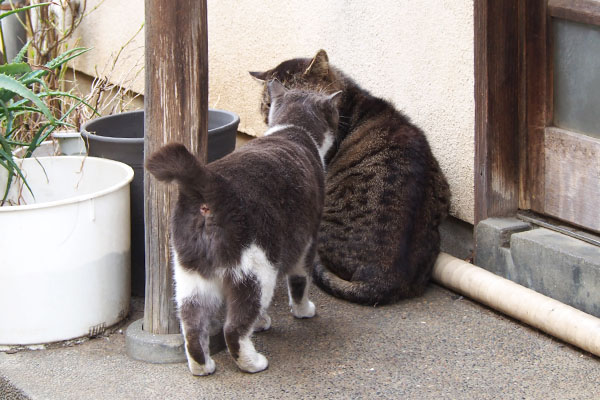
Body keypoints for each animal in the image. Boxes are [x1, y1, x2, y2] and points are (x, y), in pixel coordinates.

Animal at [145, 80, 340, 376]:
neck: (293, 130)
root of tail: (212, 186)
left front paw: (261, 323)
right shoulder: (306, 242)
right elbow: (299, 282)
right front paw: (303, 311)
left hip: (189, 275)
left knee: (192, 326)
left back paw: (203, 366)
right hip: (258, 272)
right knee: (234, 328)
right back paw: (253, 363)